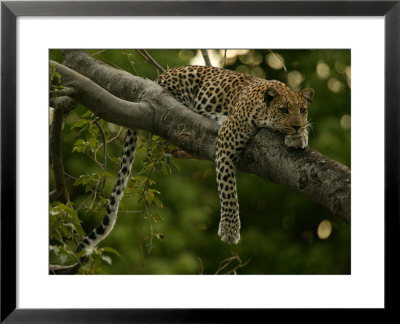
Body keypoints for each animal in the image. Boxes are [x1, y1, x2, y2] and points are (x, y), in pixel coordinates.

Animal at [76, 63, 314, 251]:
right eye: (283, 110)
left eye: (302, 110)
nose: (297, 125)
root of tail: (160, 76)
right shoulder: (227, 139)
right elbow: (228, 189)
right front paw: (230, 229)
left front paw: (300, 136)